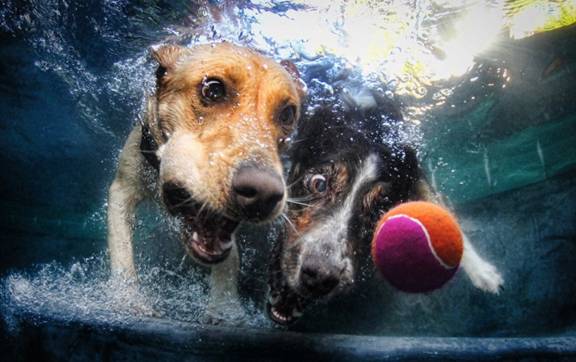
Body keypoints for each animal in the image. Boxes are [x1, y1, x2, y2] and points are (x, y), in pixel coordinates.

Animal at [109, 41, 306, 314]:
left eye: (287, 114)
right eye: (213, 90)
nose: (264, 194)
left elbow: (230, 261)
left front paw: (226, 308)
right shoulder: (122, 188)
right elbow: (121, 249)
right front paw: (127, 299)